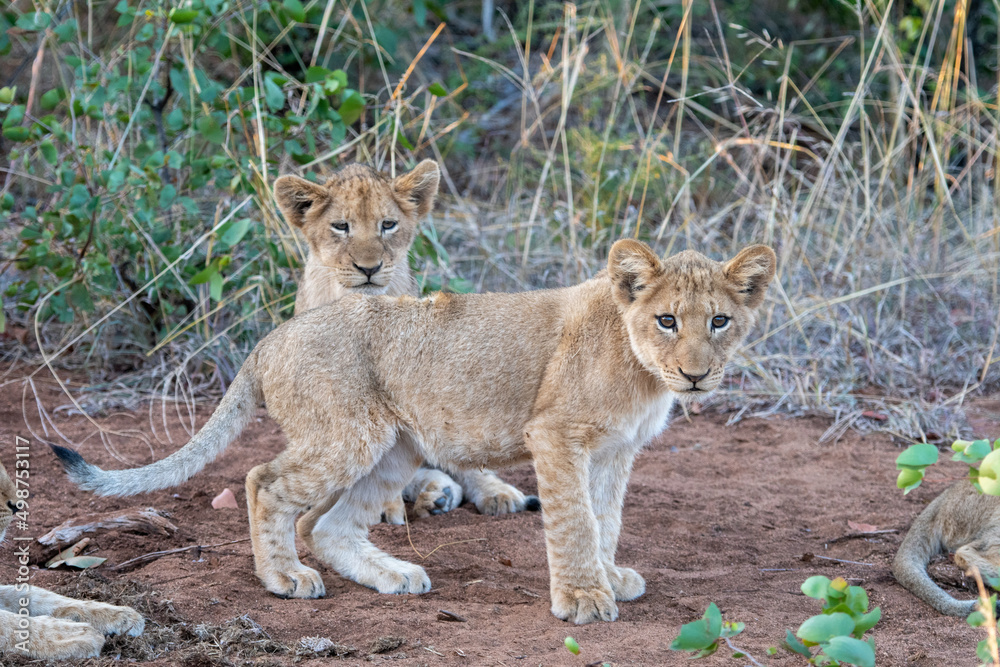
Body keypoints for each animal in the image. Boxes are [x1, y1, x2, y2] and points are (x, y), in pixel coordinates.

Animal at [52, 239, 776, 624]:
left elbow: (606, 518)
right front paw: (581, 598)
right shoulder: (556, 435)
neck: (641, 370)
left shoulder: (615, 450)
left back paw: (393, 574)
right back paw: (284, 578)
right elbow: (574, 520)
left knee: (326, 524)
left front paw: (607, 576)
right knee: (265, 482)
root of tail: (270, 338)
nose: (695, 375)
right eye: (665, 319)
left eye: (718, 320)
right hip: (346, 435)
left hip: (394, 448)